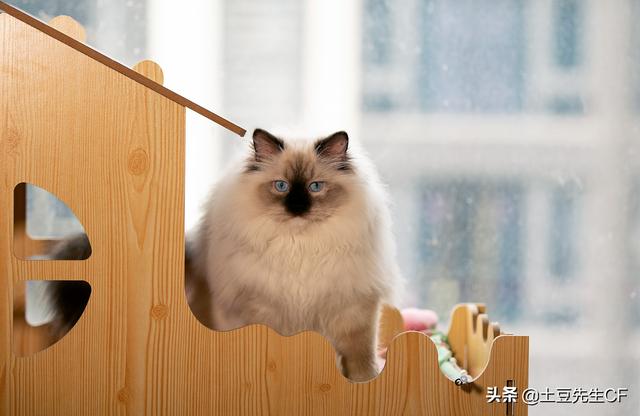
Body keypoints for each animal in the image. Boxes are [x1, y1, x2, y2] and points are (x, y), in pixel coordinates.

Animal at [43, 128, 401, 382]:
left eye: (315, 187)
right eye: (282, 187)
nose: (298, 208)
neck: (299, 248)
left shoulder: (354, 312)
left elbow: (360, 360)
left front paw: (363, 384)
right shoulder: (264, 310)